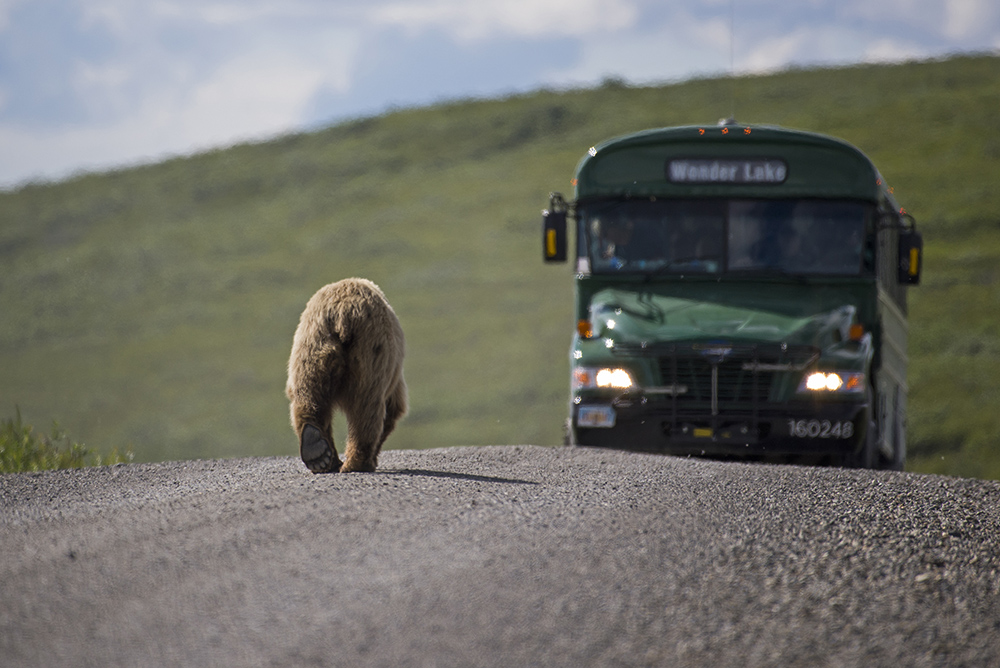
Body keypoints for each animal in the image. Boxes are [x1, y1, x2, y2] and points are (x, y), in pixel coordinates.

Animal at [285, 278, 407, 473]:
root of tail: (342, 312)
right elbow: (394, 407)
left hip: (311, 346)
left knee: (309, 394)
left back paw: (317, 451)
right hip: (372, 352)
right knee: (367, 404)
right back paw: (358, 462)